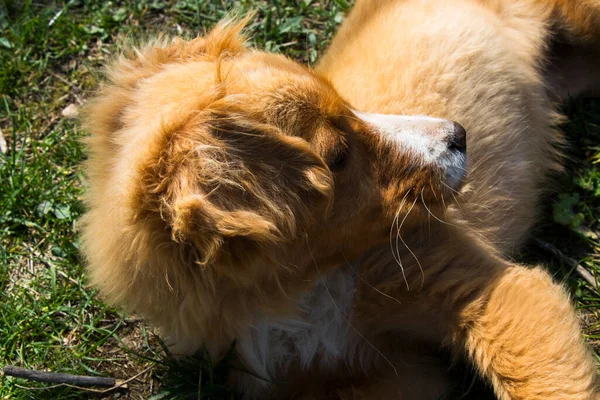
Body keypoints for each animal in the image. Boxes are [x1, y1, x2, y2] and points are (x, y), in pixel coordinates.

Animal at [83, 0, 600, 400]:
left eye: (350, 105)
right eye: (338, 155)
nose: (459, 134)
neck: (298, 296)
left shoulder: (484, 288)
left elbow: (546, 381)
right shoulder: (383, 371)